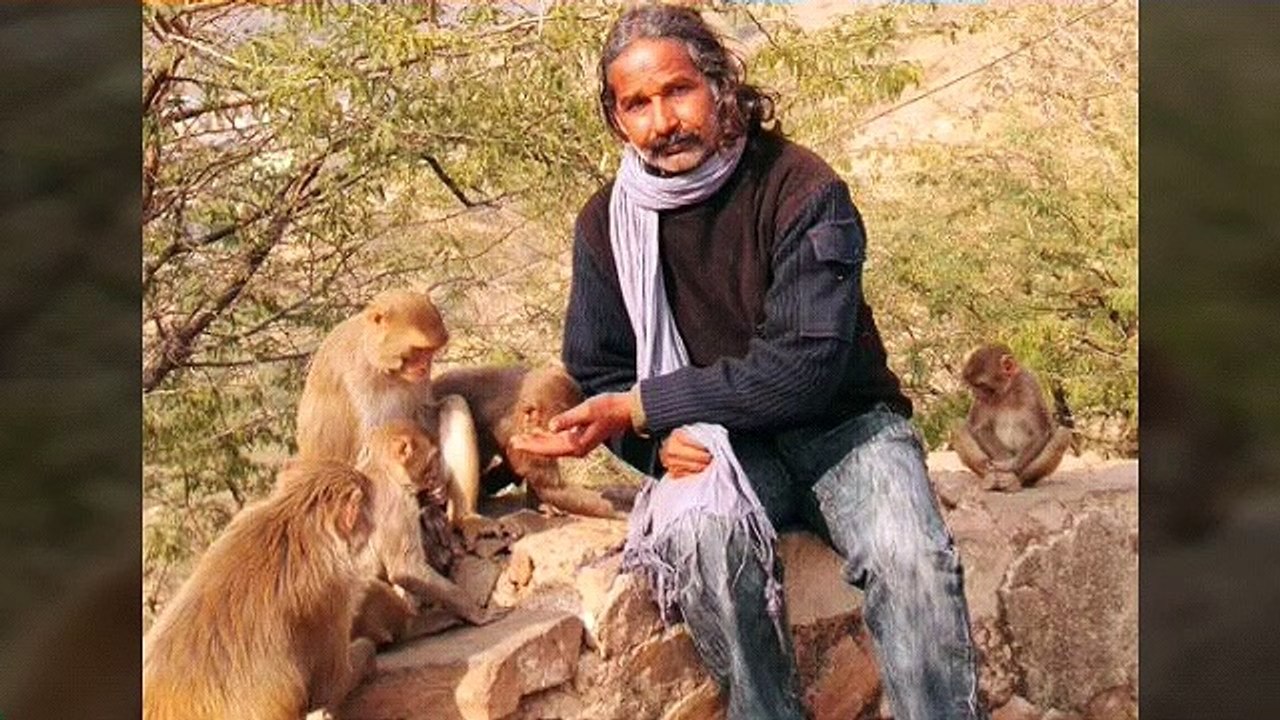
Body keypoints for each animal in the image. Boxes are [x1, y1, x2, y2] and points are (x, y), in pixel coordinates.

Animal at [432, 364, 628, 519]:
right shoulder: (516, 431)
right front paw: (620, 511)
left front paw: (539, 503)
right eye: (560, 428)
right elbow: (549, 486)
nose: (572, 435)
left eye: (578, 425)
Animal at [951, 343, 1073, 491]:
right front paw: (1002, 462)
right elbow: (979, 428)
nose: (976, 394)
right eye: (972, 385)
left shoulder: (1029, 384)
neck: (1007, 391)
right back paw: (990, 477)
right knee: (956, 425)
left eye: (981, 385)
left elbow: (1040, 431)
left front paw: (1008, 466)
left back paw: (1015, 480)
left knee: (1063, 434)